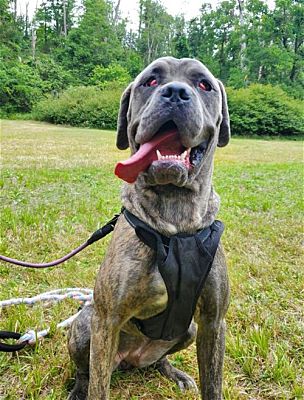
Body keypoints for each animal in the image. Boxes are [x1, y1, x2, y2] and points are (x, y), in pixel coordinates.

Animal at [67, 57, 230, 400]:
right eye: (150, 82)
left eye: (204, 84)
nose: (176, 93)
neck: (175, 222)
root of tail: (131, 358)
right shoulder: (106, 320)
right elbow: (98, 385)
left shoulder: (212, 322)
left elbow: (213, 382)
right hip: (85, 325)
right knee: (86, 371)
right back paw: (77, 388)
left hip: (188, 331)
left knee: (160, 359)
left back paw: (173, 372)